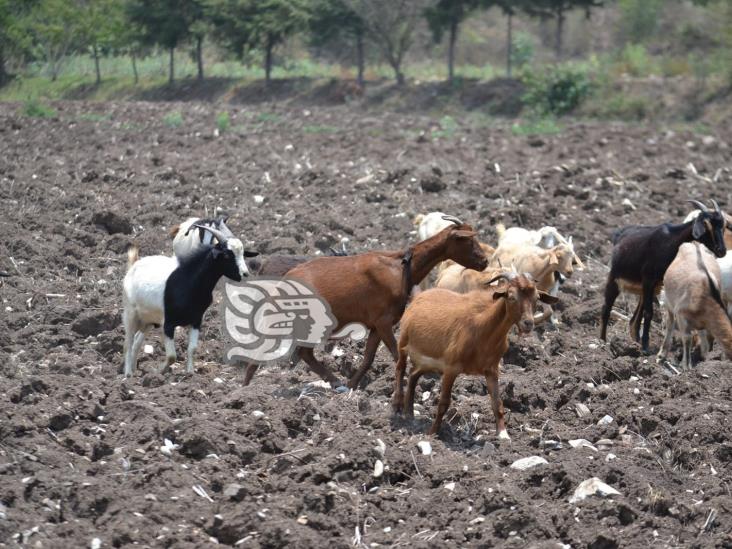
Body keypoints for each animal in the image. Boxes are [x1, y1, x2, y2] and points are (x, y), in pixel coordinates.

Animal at [243, 219, 488, 390]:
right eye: (467, 240)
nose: (484, 261)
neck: (401, 268)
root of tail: (285, 279)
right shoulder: (384, 322)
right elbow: (397, 355)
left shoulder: (376, 326)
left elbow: (369, 358)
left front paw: (352, 385)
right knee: (286, 349)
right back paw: (245, 386)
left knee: (304, 353)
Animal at [394, 272, 556, 438]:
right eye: (511, 296)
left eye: (536, 297)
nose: (528, 323)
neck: (483, 328)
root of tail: (418, 297)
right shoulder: (451, 368)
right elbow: (443, 402)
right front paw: (432, 433)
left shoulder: (491, 370)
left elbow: (497, 402)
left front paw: (503, 434)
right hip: (403, 341)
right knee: (400, 368)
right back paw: (397, 405)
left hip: (427, 361)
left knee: (413, 375)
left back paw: (409, 414)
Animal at [600, 200, 728, 352]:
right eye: (706, 224)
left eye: (723, 225)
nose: (722, 250)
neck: (671, 241)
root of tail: (619, 235)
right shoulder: (648, 280)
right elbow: (649, 312)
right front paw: (646, 346)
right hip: (615, 279)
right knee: (607, 308)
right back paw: (602, 341)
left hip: (645, 288)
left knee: (634, 319)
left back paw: (635, 342)